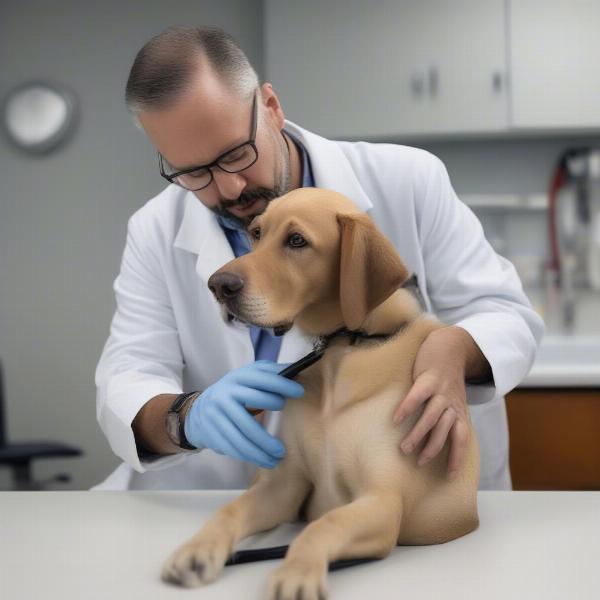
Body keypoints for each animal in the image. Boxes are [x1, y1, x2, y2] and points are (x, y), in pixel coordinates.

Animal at [161, 189, 478, 600]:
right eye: (257, 233)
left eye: (297, 241)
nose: (218, 285)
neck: (345, 347)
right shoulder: (284, 486)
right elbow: (230, 510)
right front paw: (198, 549)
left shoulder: (383, 501)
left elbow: (324, 525)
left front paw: (297, 572)